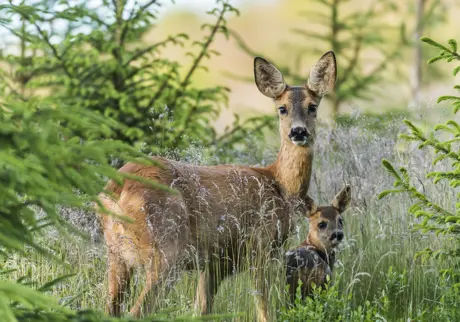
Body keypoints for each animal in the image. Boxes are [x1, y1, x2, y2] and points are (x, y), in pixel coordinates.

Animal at [97, 51, 336, 320]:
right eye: (282, 108)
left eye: (312, 106)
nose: (298, 132)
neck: (280, 186)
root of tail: (116, 191)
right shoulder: (259, 245)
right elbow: (264, 308)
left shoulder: (213, 262)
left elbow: (202, 309)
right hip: (167, 249)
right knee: (137, 310)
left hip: (116, 255)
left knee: (111, 308)